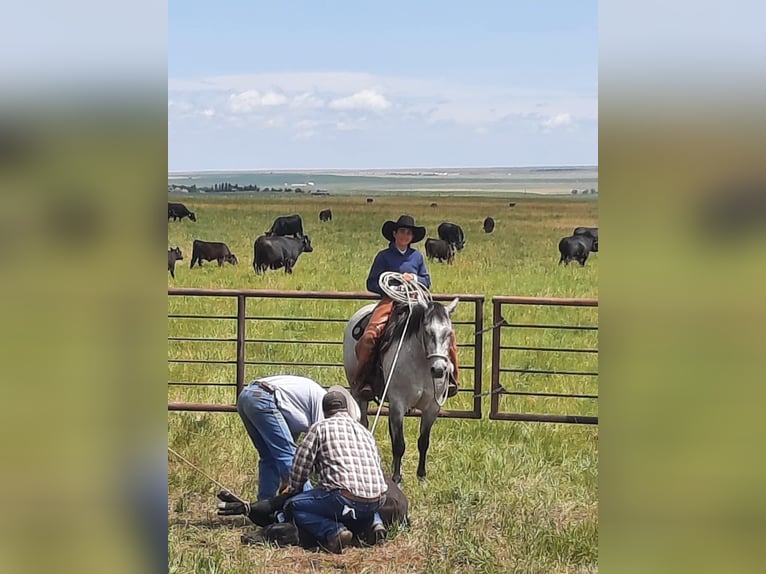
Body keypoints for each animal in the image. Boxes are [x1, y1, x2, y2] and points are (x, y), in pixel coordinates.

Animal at [343, 297, 459, 484]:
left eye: (449, 333)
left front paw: (421, 476)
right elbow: (399, 444)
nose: (439, 370)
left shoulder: (432, 408)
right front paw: (397, 478)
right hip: (358, 392)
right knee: (364, 423)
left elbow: (423, 442)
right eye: (428, 332)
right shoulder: (398, 404)